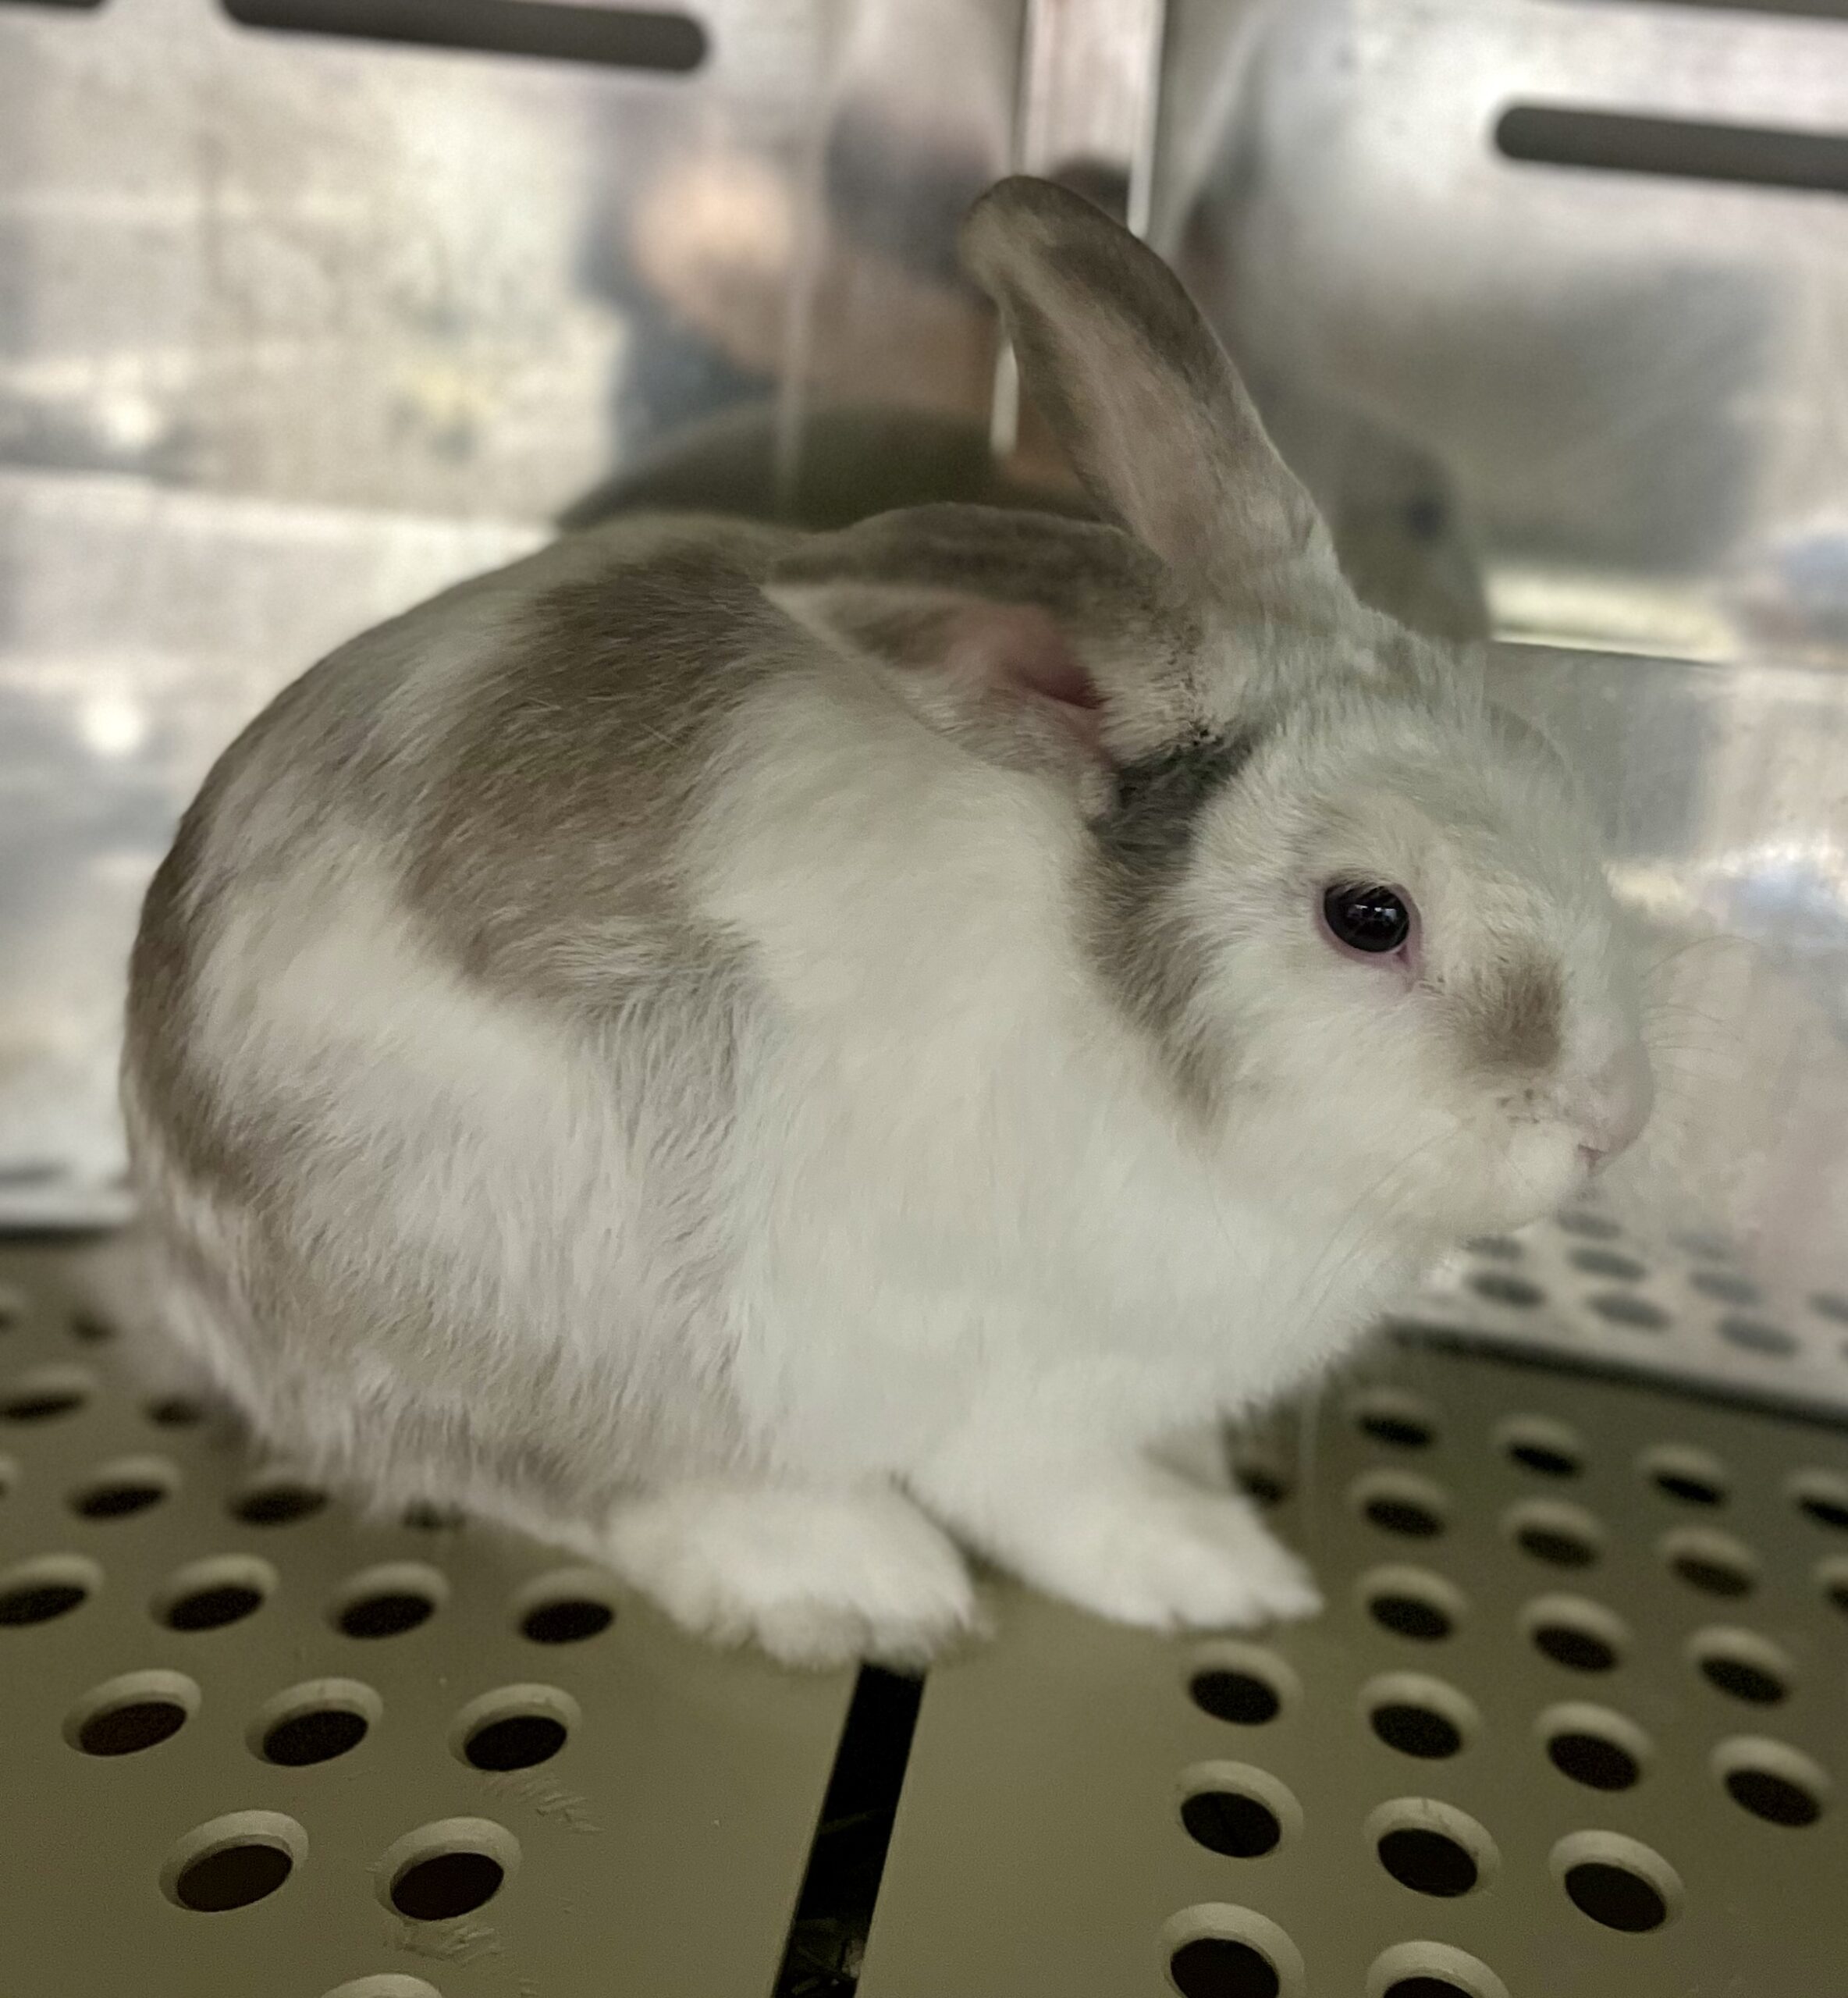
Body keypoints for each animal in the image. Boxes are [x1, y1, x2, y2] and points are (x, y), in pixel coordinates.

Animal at [122, 177, 1651, 1668]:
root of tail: (177, 1257)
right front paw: (1212, 1569)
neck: (1121, 1014)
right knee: (579, 1476)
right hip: (568, 1318)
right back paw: (851, 1581)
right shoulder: (1031, 1380)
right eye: (1369, 915)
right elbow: (1056, 1496)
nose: (1605, 1125)